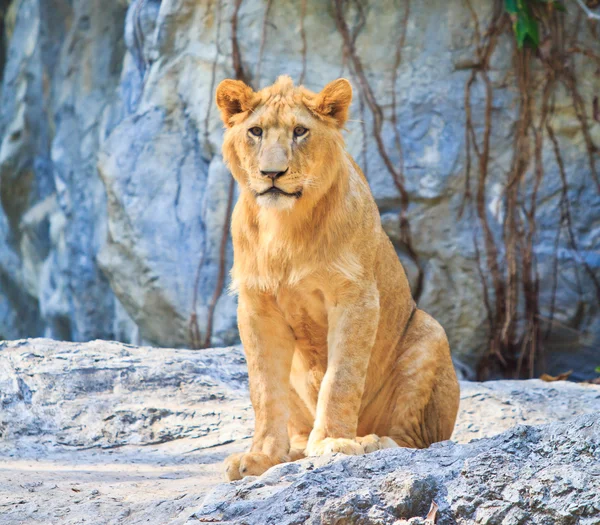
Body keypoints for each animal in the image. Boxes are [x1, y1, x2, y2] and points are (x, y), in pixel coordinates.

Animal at [216, 75, 460, 482]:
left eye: (300, 131)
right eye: (256, 131)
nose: (271, 173)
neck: (284, 227)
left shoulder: (356, 296)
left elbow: (341, 377)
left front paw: (333, 442)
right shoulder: (256, 306)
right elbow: (264, 390)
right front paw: (261, 456)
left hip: (430, 332)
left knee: (417, 441)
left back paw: (371, 441)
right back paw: (294, 451)